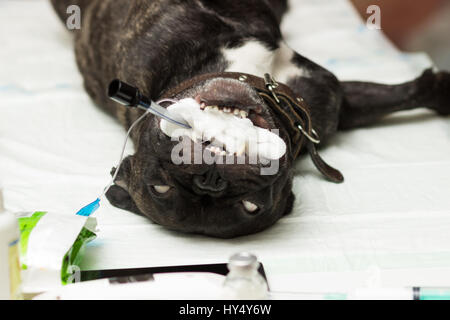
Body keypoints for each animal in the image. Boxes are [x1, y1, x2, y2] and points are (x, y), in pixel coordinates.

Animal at [49, 0, 450, 238]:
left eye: (251, 206)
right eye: (159, 189)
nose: (211, 178)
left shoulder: (334, 102)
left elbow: (400, 95)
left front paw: (439, 90)